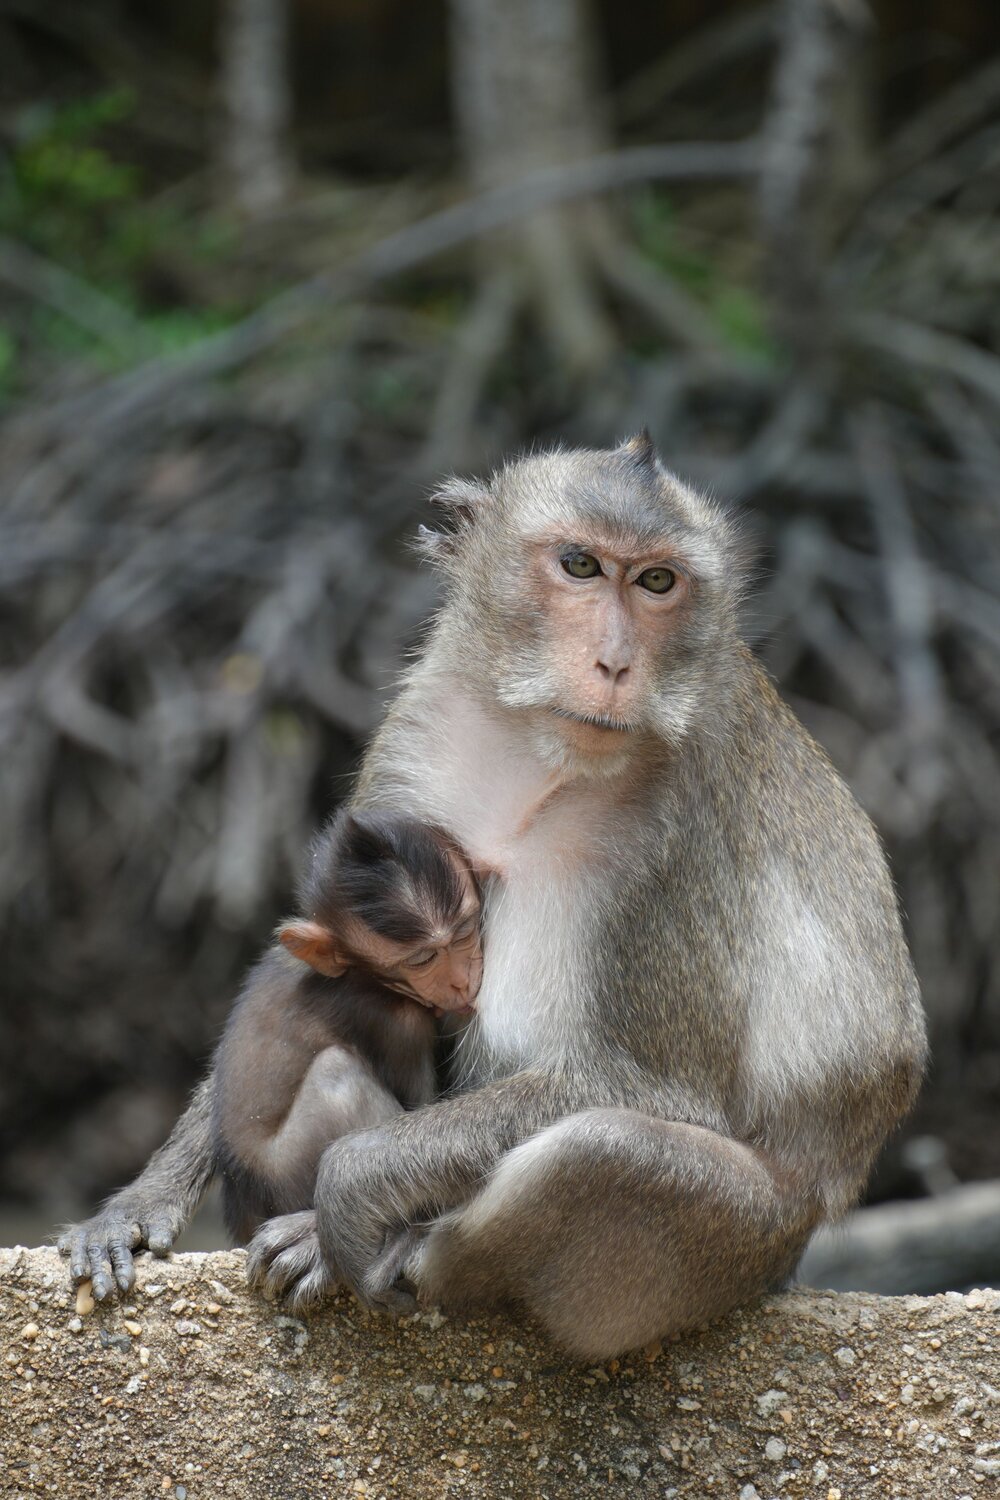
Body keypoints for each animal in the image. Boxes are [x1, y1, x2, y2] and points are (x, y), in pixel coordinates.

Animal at [61, 435, 925, 1361]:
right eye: (580, 565)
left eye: (658, 582)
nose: (615, 664)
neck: (542, 751)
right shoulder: (420, 732)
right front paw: (138, 1204)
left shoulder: (679, 842)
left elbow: (656, 1093)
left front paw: (351, 1188)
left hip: (742, 1241)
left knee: (597, 1152)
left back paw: (394, 1252)